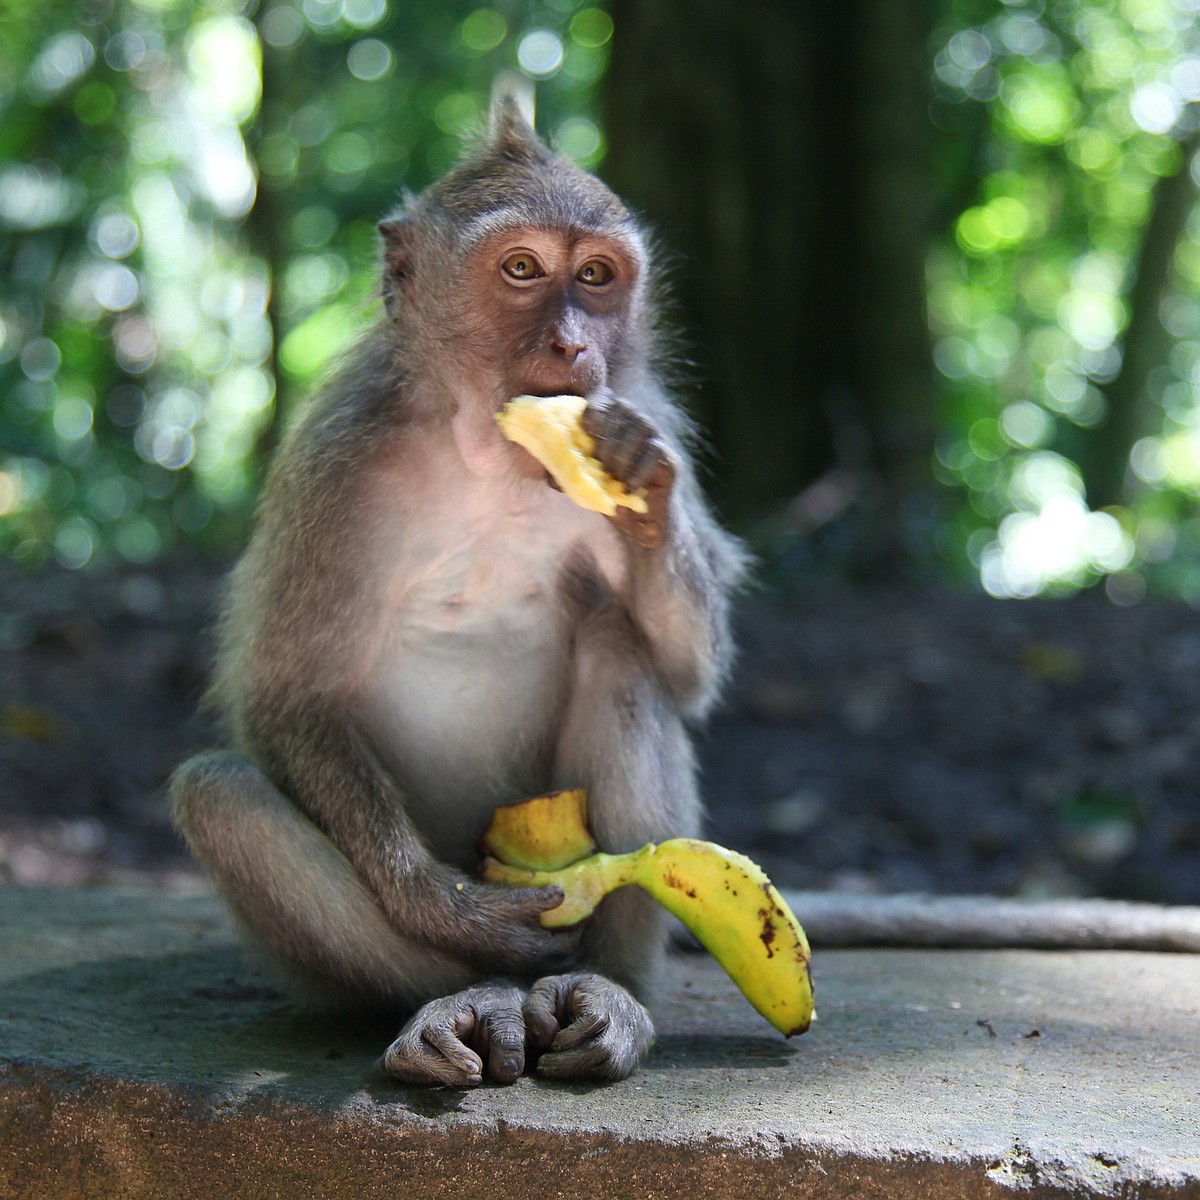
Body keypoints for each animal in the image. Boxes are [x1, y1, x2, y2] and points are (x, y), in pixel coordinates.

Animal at [171, 96, 748, 1089]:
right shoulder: (335, 463)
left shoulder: (653, 411)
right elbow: (287, 697)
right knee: (221, 794)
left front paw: (641, 486)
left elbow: (689, 675)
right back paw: (465, 996)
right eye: (521, 269)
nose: (574, 343)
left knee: (618, 646)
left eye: (596, 275)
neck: (491, 459)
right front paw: (447, 908)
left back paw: (608, 993)